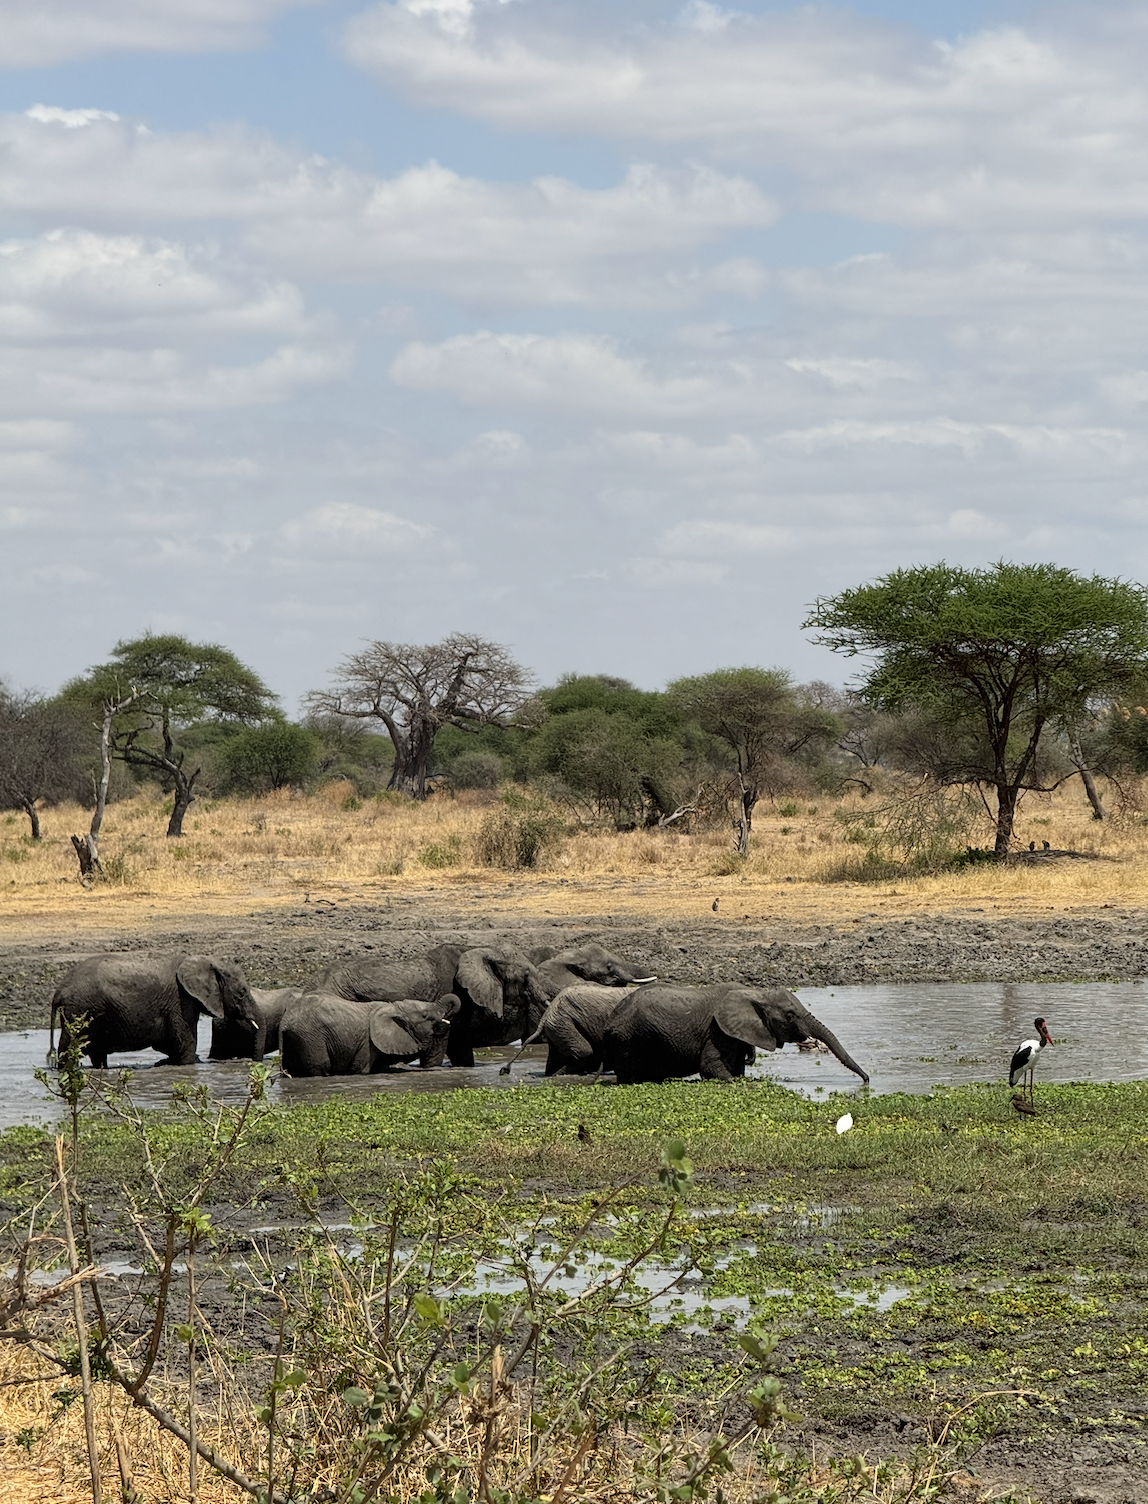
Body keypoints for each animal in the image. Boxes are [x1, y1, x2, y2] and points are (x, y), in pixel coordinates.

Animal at [49, 954, 261, 1069]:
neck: (206, 961)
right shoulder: (181, 1001)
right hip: (79, 1011)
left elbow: (168, 1044)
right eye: (242, 993)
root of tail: (58, 991)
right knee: (70, 1048)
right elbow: (185, 1043)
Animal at [280, 992, 460, 1077]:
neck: (393, 1007)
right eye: (425, 1015)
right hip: (310, 1037)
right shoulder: (368, 1043)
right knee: (320, 1067)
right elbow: (361, 1070)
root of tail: (284, 1022)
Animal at [599, 983, 870, 1086]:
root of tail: (610, 1018)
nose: (867, 1081)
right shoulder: (718, 1030)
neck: (757, 994)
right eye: (791, 1015)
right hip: (628, 1039)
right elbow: (711, 1068)